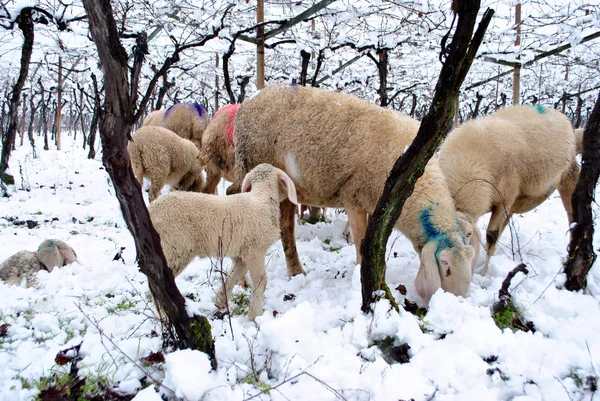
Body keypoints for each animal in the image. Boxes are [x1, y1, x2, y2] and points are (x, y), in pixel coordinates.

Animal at [148, 162, 298, 318]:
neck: (262, 198)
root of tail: (151, 210)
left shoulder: (241, 253)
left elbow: (235, 273)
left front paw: (220, 299)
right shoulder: (255, 251)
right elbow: (261, 281)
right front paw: (255, 315)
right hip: (174, 247)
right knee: (158, 283)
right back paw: (164, 314)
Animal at [204, 85, 476, 306]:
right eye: (446, 265)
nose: (457, 301)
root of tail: (250, 99)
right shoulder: (354, 195)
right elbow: (361, 241)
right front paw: (360, 276)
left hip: (284, 185)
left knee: (285, 225)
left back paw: (295, 271)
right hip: (251, 162)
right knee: (232, 193)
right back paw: (244, 281)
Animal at [436, 104, 580, 276]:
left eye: (469, 234)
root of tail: (558, 113)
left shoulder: (503, 202)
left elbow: (491, 235)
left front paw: (483, 273)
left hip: (567, 175)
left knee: (571, 214)